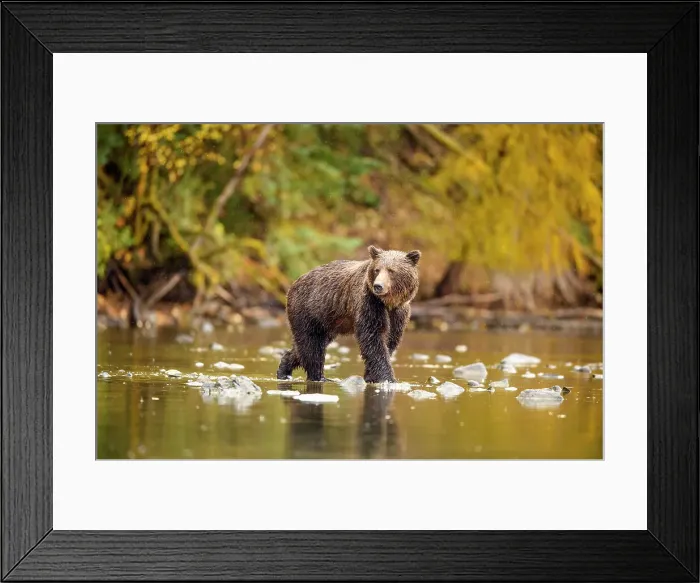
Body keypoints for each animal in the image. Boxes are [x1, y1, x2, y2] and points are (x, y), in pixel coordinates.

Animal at [277, 245, 421, 383]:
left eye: (391, 270)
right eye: (377, 270)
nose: (378, 286)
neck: (388, 302)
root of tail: (293, 284)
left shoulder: (398, 313)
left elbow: (390, 339)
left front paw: (371, 376)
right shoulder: (370, 303)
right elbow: (373, 338)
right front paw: (387, 378)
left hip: (328, 322)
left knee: (306, 347)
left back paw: (284, 369)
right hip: (307, 310)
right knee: (311, 345)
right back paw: (318, 376)